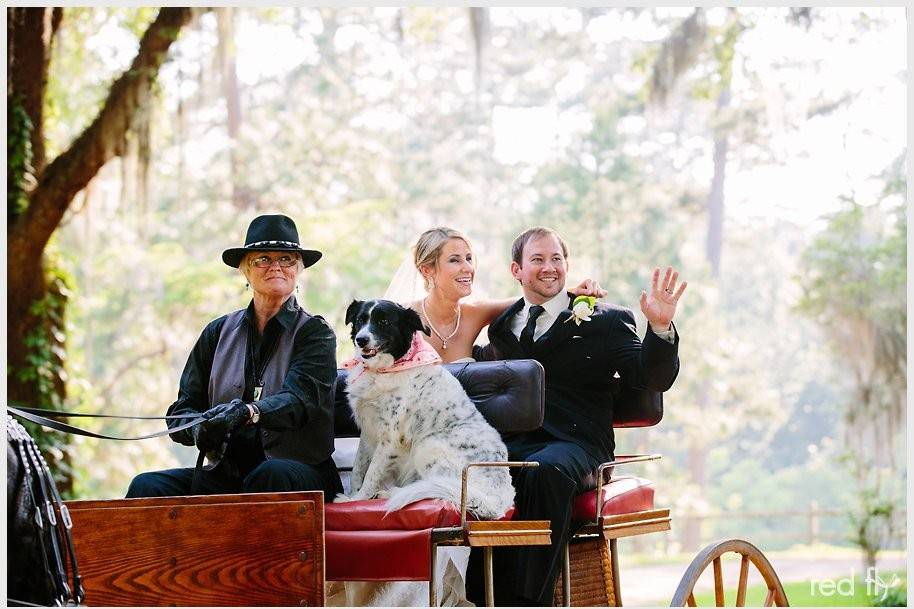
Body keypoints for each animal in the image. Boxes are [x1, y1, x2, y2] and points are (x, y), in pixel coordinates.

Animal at [340, 300, 516, 516]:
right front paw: (350, 497)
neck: (383, 369)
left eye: (384, 322)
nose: (361, 339)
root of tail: (498, 499)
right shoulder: (367, 430)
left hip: (428, 444)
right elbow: (358, 468)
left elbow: (372, 473)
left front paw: (359, 499)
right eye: (360, 320)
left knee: (436, 486)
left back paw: (390, 493)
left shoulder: (390, 438)